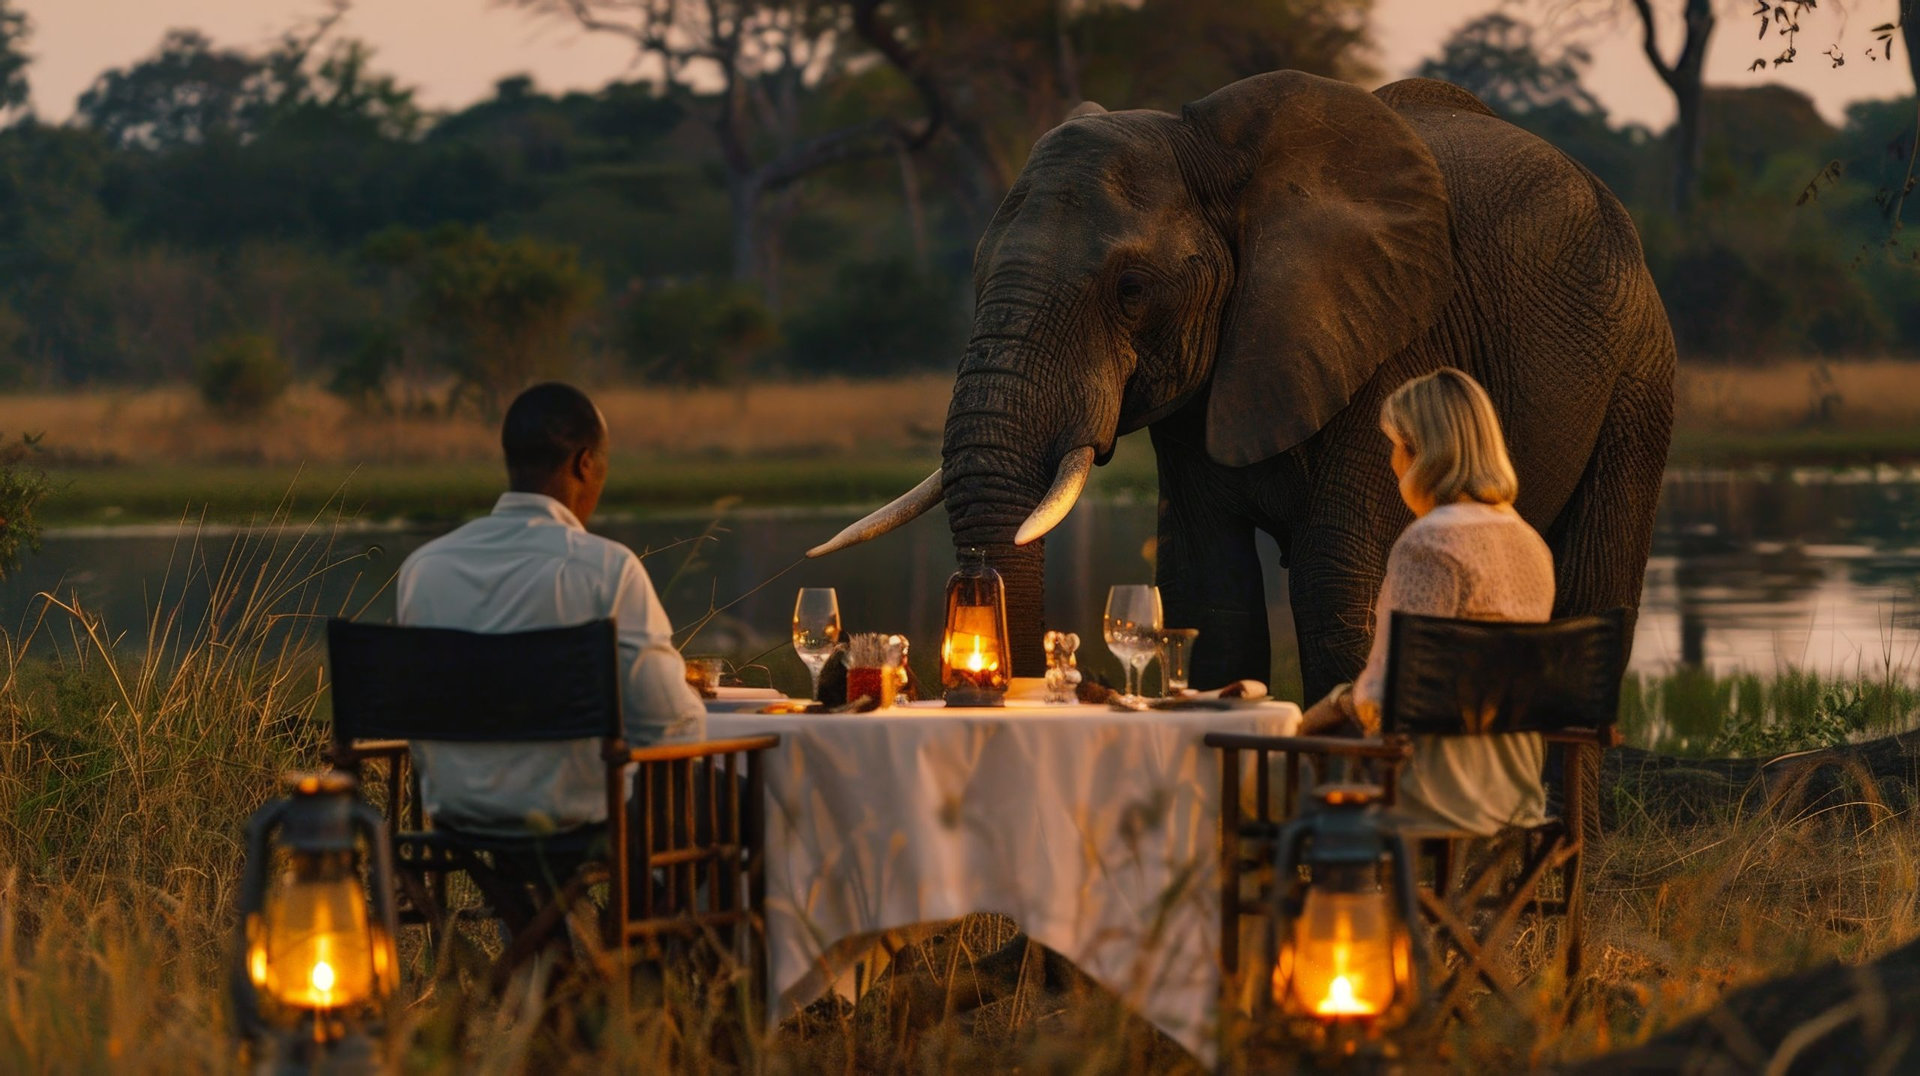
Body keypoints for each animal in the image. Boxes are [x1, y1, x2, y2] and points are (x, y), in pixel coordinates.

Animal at [809, 71, 1675, 701]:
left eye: (1130, 290)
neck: (1205, 144)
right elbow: (1207, 593)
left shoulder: (1402, 342)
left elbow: (1331, 584)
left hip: (1639, 367)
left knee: (1592, 598)